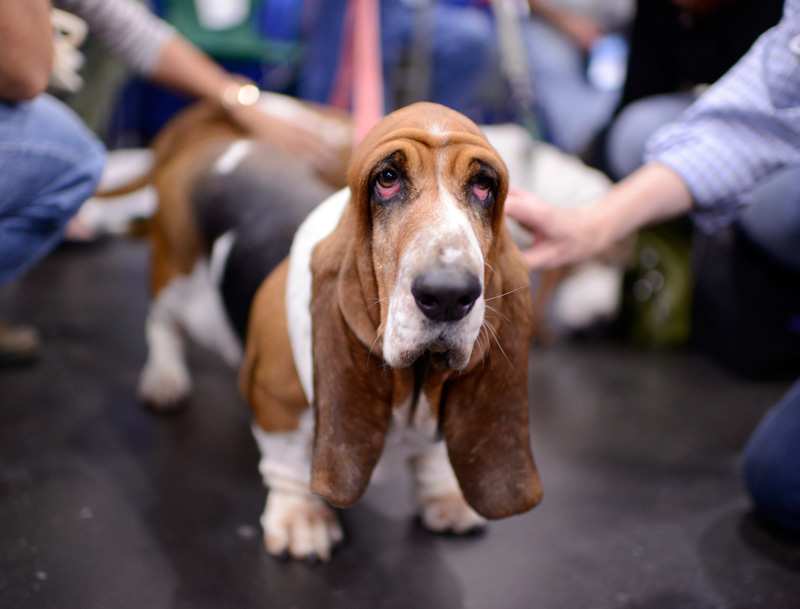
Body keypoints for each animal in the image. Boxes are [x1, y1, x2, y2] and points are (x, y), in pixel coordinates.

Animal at [136, 98, 544, 560]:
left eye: (483, 186)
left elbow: (436, 456)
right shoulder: (279, 403)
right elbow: (289, 462)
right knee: (161, 323)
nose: (447, 293)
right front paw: (301, 519)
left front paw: (446, 499)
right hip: (177, 279)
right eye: (387, 179)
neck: (413, 382)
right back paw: (164, 379)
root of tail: (210, 143)